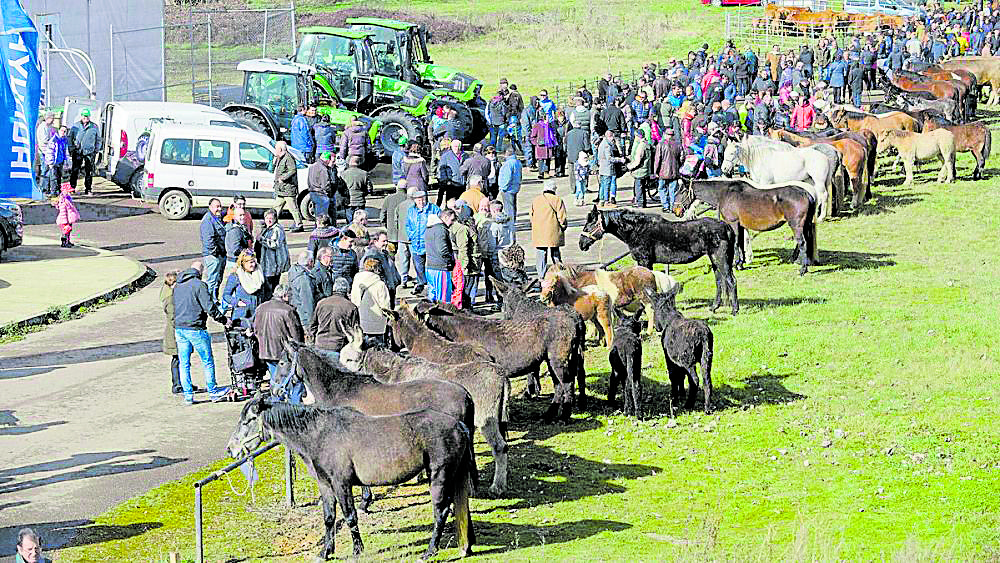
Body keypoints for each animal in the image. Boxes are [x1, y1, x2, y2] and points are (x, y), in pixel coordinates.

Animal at [229, 398, 476, 560]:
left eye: (248, 420)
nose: (231, 449)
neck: (320, 435)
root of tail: (459, 426)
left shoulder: (341, 485)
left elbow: (350, 516)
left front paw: (357, 550)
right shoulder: (326, 486)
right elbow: (329, 518)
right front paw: (325, 552)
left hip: (439, 476)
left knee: (440, 511)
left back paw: (430, 551)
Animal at [580, 207, 736, 316]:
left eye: (589, 225)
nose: (581, 244)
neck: (636, 229)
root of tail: (726, 227)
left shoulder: (644, 261)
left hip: (720, 258)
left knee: (730, 280)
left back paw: (735, 310)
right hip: (715, 260)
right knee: (720, 281)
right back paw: (714, 307)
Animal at [648, 286, 712, 414]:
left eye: (652, 307)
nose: (656, 327)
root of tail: (703, 335)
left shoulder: (669, 357)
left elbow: (673, 376)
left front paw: (674, 397)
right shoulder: (678, 360)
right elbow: (681, 376)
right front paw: (681, 394)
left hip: (688, 360)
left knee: (695, 380)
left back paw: (689, 404)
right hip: (706, 357)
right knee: (707, 379)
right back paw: (707, 407)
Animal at [688, 180, 820, 274]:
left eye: (682, 190)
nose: (684, 212)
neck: (724, 193)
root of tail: (806, 193)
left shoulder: (733, 223)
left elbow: (736, 243)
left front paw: (736, 265)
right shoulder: (740, 225)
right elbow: (741, 243)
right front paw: (740, 264)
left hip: (796, 225)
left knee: (802, 243)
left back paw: (802, 269)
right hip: (806, 224)